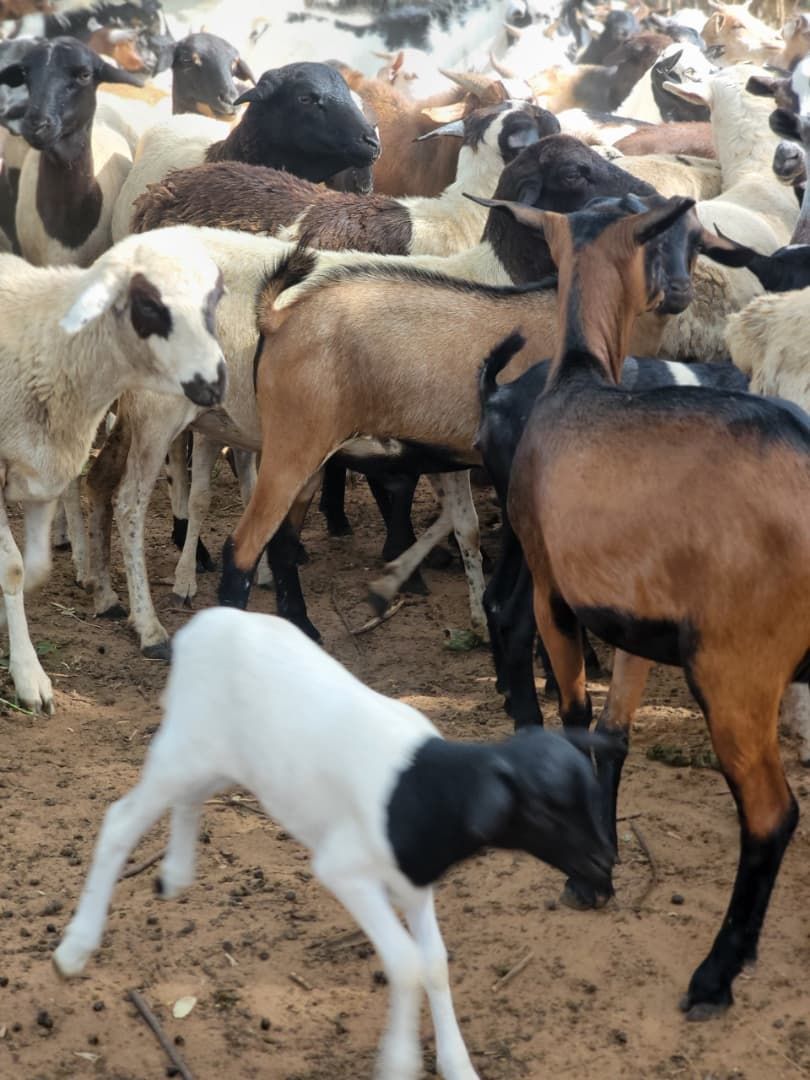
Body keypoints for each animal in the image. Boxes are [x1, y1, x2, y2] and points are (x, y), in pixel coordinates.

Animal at [0, 225, 226, 712]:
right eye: (149, 304)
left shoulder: (43, 465)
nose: (215, 382)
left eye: (214, 299)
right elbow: (14, 569)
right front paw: (30, 678)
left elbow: (36, 568)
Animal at [53, 606, 614, 1080]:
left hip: (219, 760)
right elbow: (406, 963)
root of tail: (203, 626)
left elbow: (434, 962)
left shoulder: (413, 882)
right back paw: (75, 948)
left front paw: (457, 1065)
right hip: (180, 750)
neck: (422, 789)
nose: (603, 863)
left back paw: (174, 874)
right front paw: (400, 1062)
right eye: (544, 809)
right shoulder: (346, 871)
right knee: (119, 822)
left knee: (190, 799)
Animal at [487, 192, 809, 1019]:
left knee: (771, 816)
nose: (674, 292)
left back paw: (716, 974)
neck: (577, 376)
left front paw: (584, 873)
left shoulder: (554, 592)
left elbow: (574, 718)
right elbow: (612, 735)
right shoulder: (634, 616)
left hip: (737, 669)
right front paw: (599, 862)